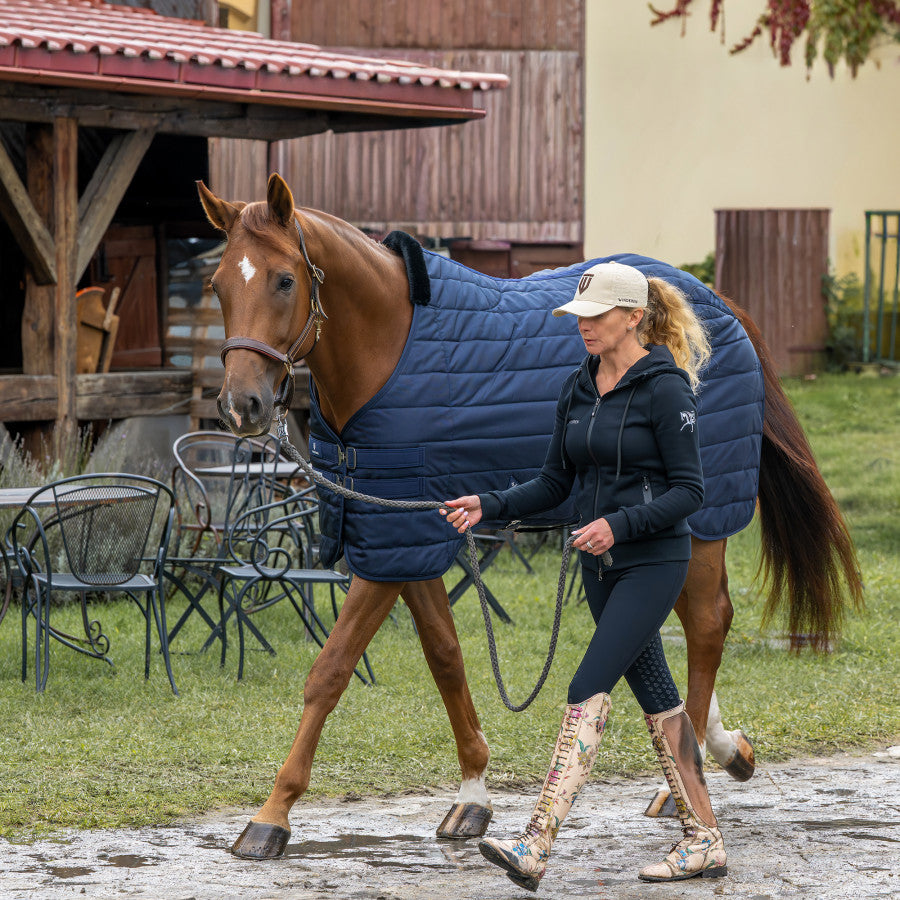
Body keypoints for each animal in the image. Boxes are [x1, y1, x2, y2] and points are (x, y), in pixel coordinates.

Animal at [196, 174, 862, 859]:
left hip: (700, 523)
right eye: (217, 284)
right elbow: (446, 658)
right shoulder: (413, 536)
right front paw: (472, 797)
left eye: (283, 280)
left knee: (706, 624)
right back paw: (727, 747)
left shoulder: (391, 550)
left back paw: (681, 775)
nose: (241, 406)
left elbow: (329, 672)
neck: (389, 350)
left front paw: (271, 817)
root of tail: (719, 305)